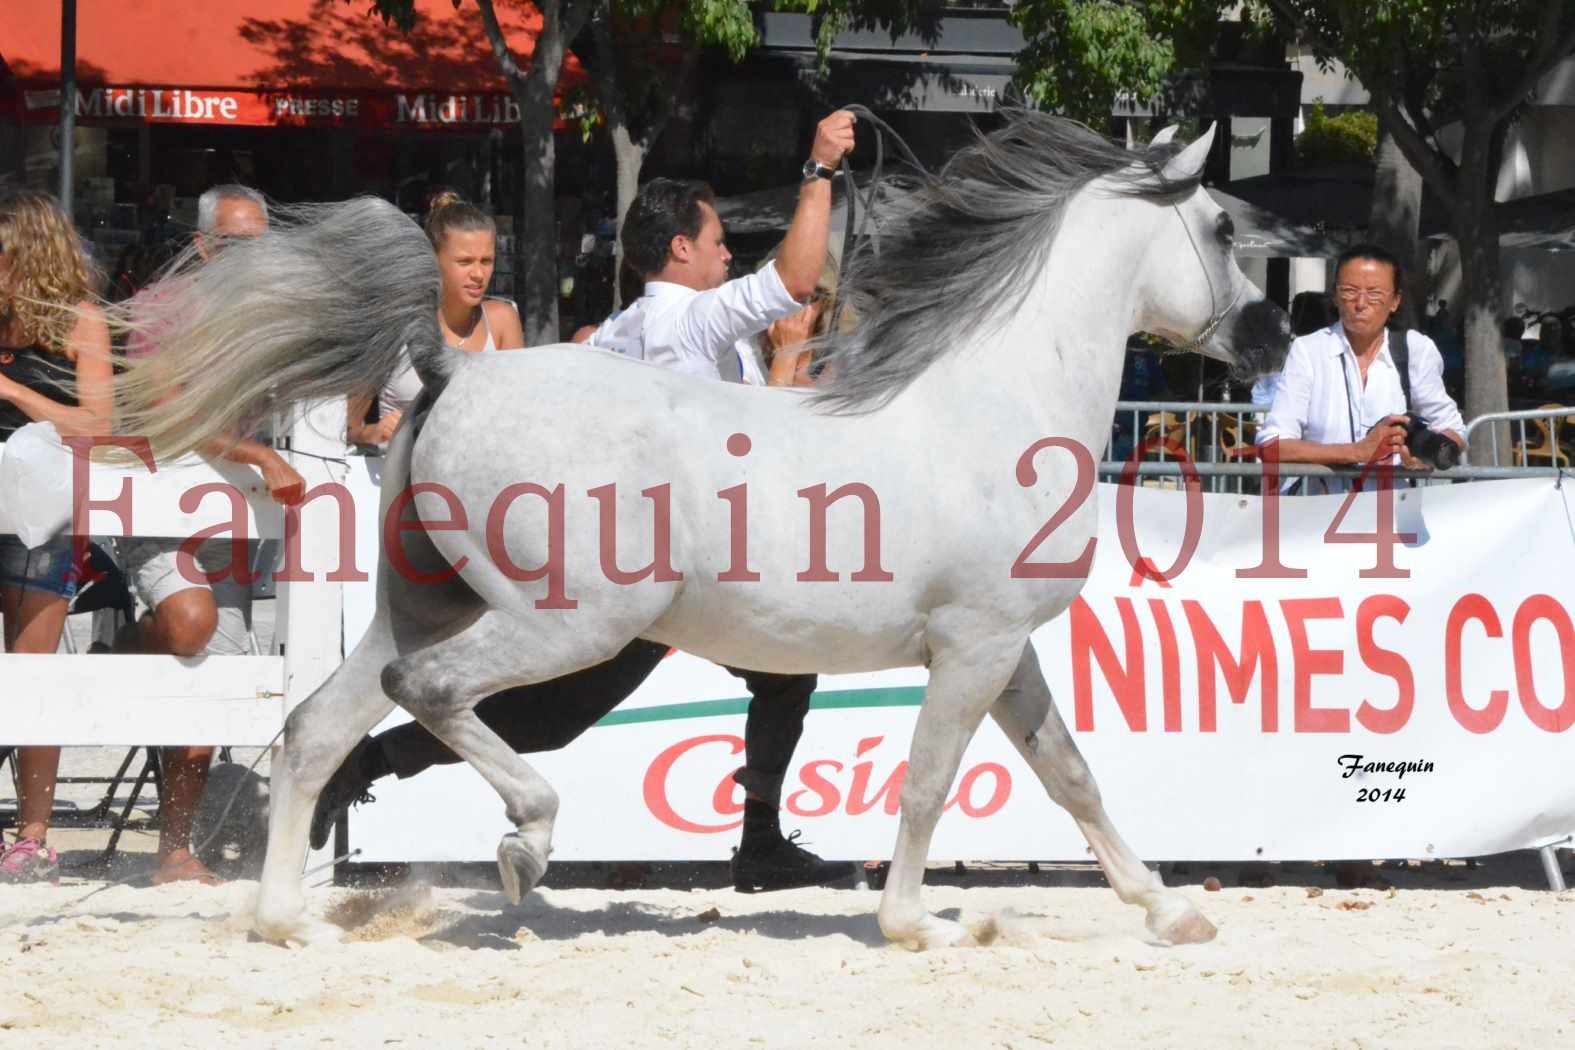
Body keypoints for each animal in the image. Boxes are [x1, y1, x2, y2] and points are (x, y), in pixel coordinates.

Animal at [116, 117, 1285, 950]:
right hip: (573, 625)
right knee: (432, 698)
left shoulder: (1006, 647)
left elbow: (1069, 774)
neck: (997, 404)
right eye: (1226, 231)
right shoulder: (973, 643)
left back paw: (289, 919)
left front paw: (1172, 910)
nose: (1271, 341)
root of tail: (451, 369)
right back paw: (524, 845)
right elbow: (930, 781)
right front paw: (921, 925)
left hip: (426, 608)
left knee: (318, 729)